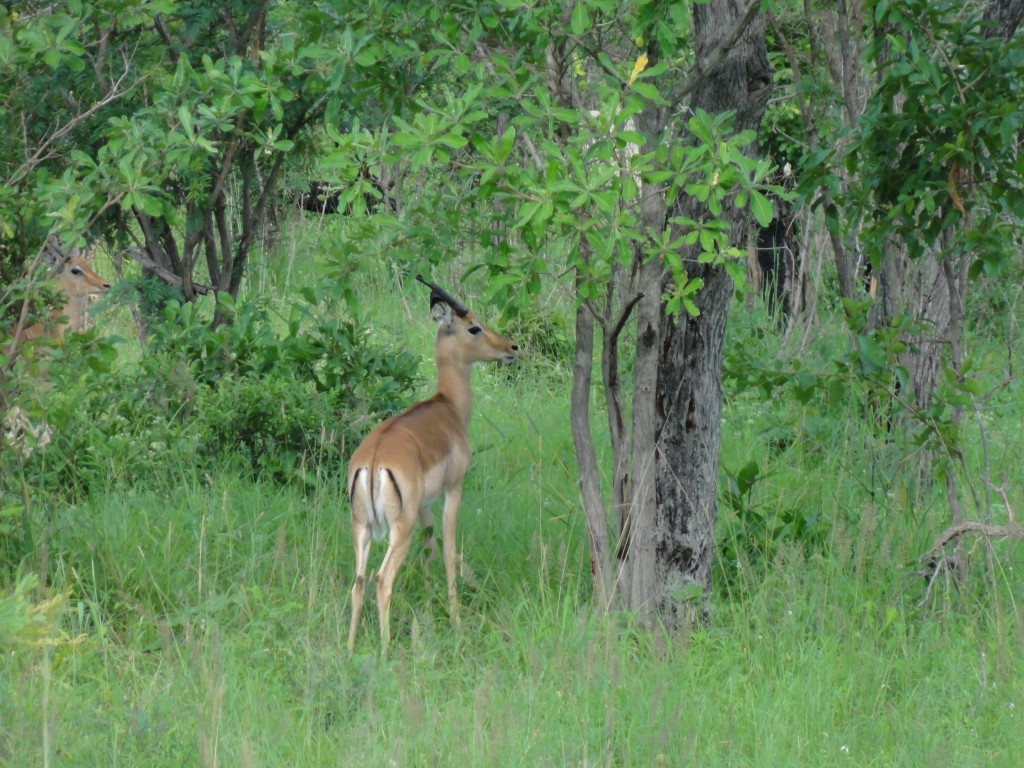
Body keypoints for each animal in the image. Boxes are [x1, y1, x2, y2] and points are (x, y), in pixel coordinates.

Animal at [346, 275, 518, 652]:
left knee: (358, 581)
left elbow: (429, 548)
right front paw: (455, 620)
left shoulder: (425, 505)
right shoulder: (452, 491)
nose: (511, 348)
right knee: (381, 580)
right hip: (399, 528)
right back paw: (385, 648)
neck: (448, 406)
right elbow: (449, 550)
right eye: (473, 327)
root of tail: (374, 460)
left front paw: (428, 600)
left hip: (361, 528)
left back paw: (349, 649)